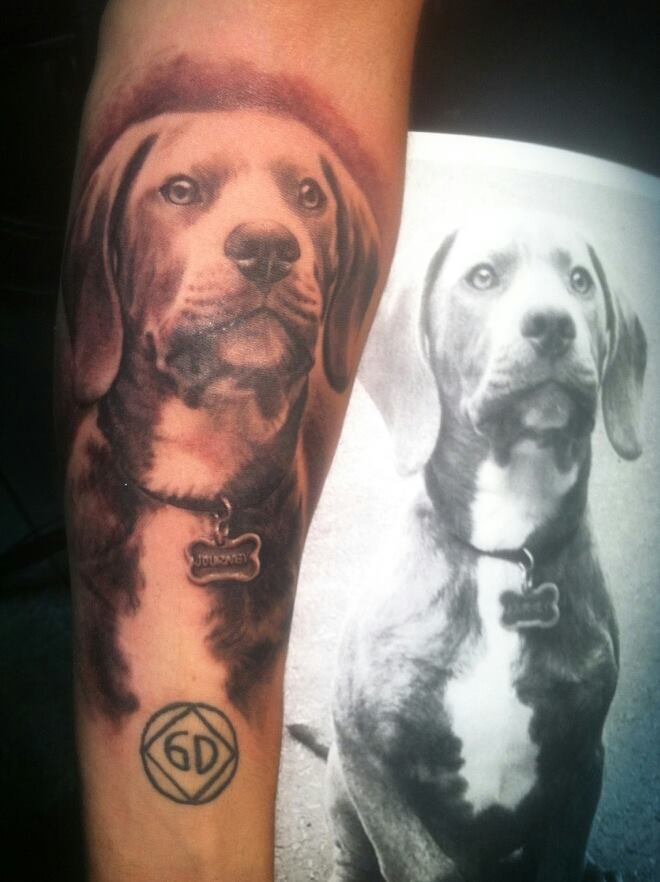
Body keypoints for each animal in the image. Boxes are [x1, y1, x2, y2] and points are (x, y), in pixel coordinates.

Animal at [327, 214, 646, 881]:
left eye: (580, 281)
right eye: (482, 276)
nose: (552, 323)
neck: (505, 551)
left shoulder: (582, 762)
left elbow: (559, 858)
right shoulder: (365, 754)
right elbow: (420, 864)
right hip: (340, 789)